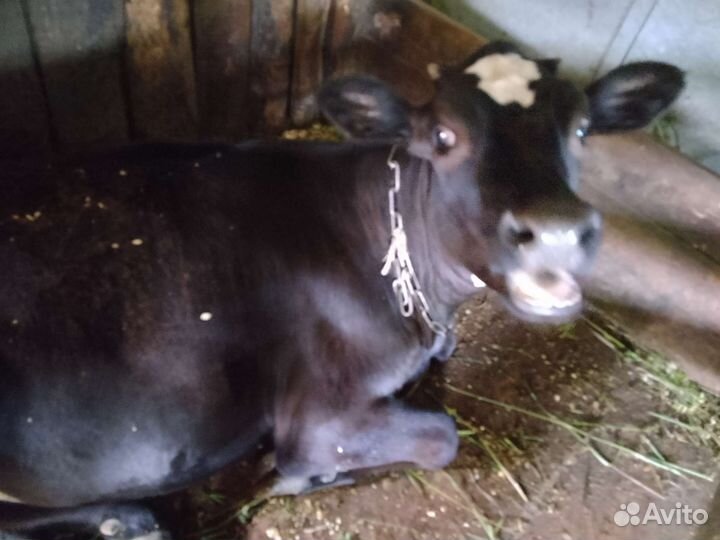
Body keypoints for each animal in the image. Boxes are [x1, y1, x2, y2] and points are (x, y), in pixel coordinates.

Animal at [0, 42, 683, 539]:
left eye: (583, 130)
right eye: (443, 137)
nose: (558, 232)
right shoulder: (317, 416)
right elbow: (440, 436)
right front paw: (293, 476)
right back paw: (129, 519)